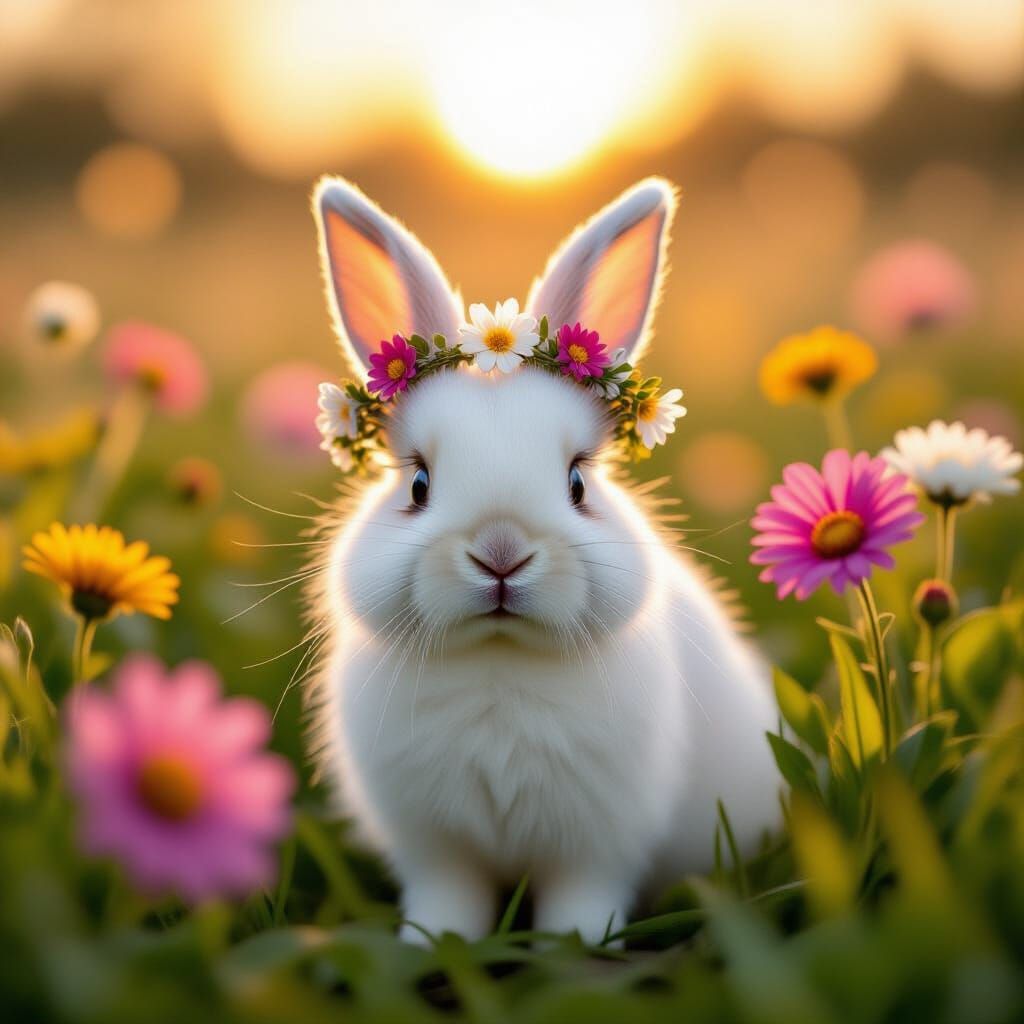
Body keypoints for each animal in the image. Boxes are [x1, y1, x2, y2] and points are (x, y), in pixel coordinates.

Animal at [306, 176, 781, 946]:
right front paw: (434, 943)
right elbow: (448, 896)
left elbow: (581, 894)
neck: (500, 661)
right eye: (418, 484)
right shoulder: (435, 845)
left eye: (578, 483)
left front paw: (578, 943)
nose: (501, 554)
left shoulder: (597, 840)